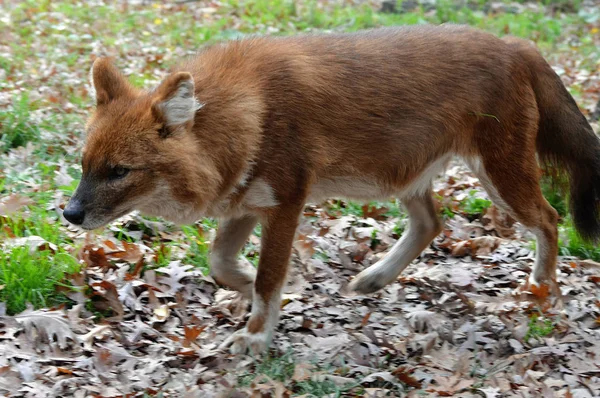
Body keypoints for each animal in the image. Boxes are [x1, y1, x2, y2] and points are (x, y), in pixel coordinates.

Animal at [64, 24, 600, 354]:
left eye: (119, 171)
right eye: (85, 165)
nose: (69, 215)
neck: (247, 115)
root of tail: (517, 45)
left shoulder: (286, 201)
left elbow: (268, 276)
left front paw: (255, 336)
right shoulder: (245, 203)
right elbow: (220, 263)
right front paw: (259, 287)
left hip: (500, 172)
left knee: (549, 219)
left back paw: (540, 291)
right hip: (404, 172)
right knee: (432, 223)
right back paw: (374, 278)